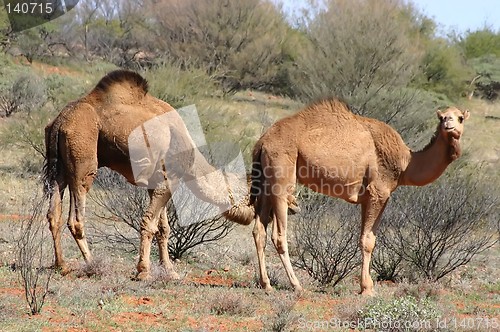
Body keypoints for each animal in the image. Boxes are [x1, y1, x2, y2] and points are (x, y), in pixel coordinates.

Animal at [42, 70, 254, 280]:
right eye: (250, 195)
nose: (252, 215)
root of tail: (60, 121)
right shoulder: (169, 180)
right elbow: (149, 224)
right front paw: (143, 270)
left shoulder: (156, 184)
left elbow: (164, 228)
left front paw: (169, 270)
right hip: (83, 155)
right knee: (76, 217)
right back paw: (92, 264)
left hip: (59, 167)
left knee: (54, 213)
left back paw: (62, 265)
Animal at [252, 97, 470, 294]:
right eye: (442, 117)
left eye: (460, 117)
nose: (449, 124)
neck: (406, 163)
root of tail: (262, 141)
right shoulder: (379, 192)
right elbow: (367, 241)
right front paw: (366, 288)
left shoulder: (368, 197)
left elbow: (368, 238)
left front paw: (367, 285)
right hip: (282, 173)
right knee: (279, 235)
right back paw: (296, 285)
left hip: (265, 181)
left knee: (259, 231)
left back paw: (266, 285)